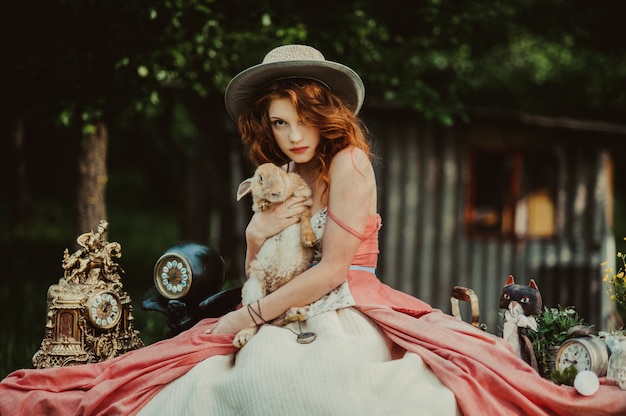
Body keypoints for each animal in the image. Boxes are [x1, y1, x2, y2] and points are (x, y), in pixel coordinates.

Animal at [232, 162, 314, 348]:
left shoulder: (304, 202)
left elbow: (305, 219)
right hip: (253, 290)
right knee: (256, 320)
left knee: (276, 320)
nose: (276, 192)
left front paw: (309, 240)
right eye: (260, 179)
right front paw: (264, 204)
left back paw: (295, 313)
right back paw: (241, 338)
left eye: (279, 172)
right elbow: (257, 203)